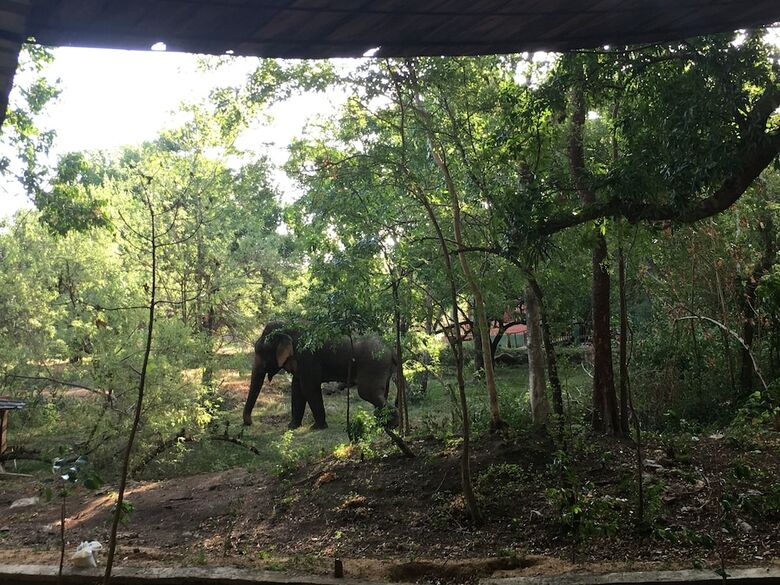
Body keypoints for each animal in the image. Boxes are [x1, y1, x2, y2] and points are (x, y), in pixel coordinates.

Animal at [242, 322, 399, 430]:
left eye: (261, 351)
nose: (249, 423)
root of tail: (392, 349)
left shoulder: (308, 357)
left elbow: (309, 387)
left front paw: (317, 427)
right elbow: (297, 388)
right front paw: (292, 427)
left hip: (373, 364)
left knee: (367, 392)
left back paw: (393, 425)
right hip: (381, 368)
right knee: (381, 392)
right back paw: (382, 424)